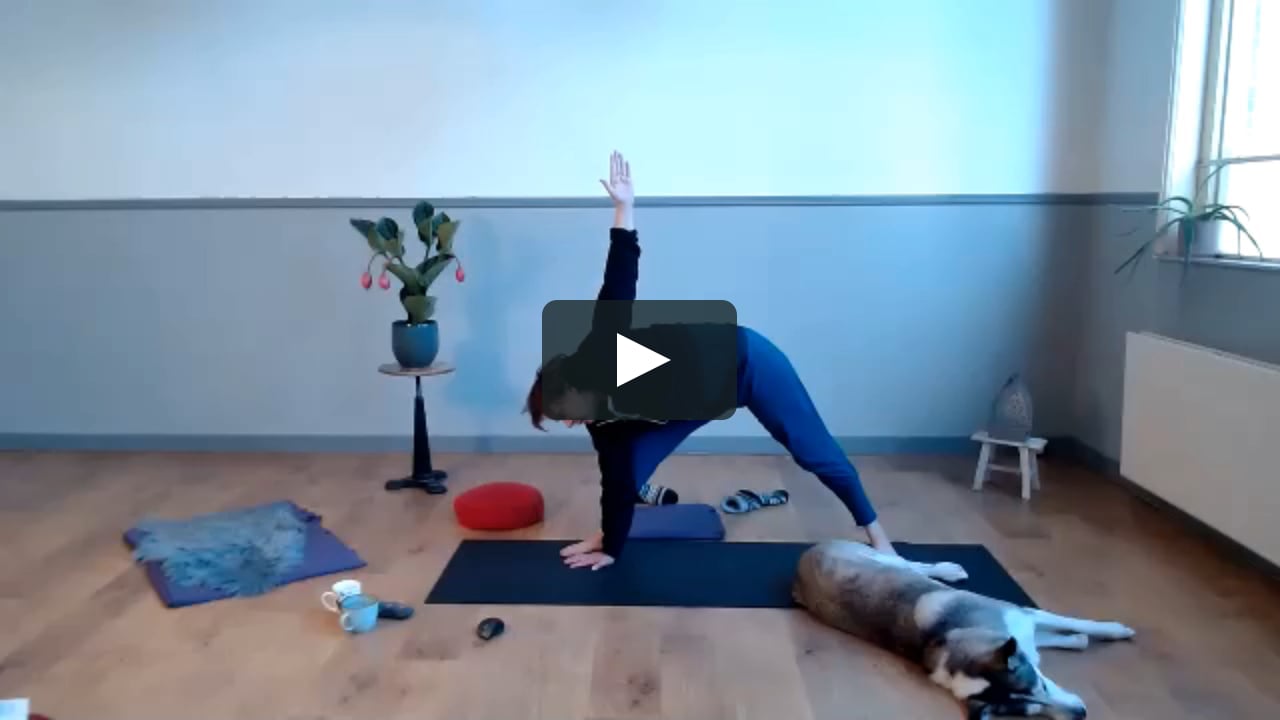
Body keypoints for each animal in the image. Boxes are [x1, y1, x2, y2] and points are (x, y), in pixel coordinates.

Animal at [791, 540, 1135, 719]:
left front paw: (1111, 630)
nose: (1082, 713)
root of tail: (801, 564)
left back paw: (948, 570)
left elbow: (1068, 625)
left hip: (880, 560)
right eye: (1030, 711)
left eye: (1042, 687)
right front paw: (1085, 637)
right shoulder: (1021, 626)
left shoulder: (1020, 618)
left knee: (909, 563)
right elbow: (1059, 635)